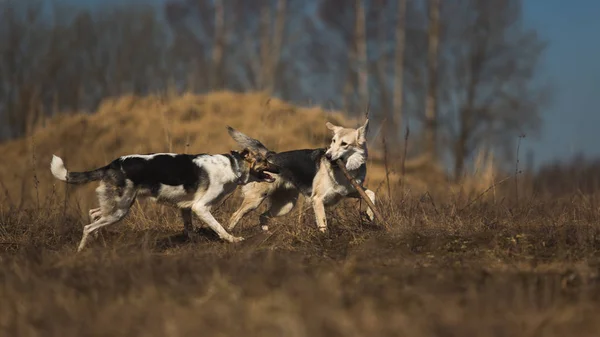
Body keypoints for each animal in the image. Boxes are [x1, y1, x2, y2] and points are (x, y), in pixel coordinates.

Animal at [50, 126, 280, 252]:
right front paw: (232, 240)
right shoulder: (200, 207)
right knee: (89, 227)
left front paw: (195, 242)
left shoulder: (186, 208)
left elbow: (190, 230)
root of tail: (112, 164)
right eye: (265, 161)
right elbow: (220, 228)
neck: (233, 166)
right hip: (120, 210)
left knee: (94, 214)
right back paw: (81, 251)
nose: (279, 168)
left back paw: (96, 242)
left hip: (117, 205)